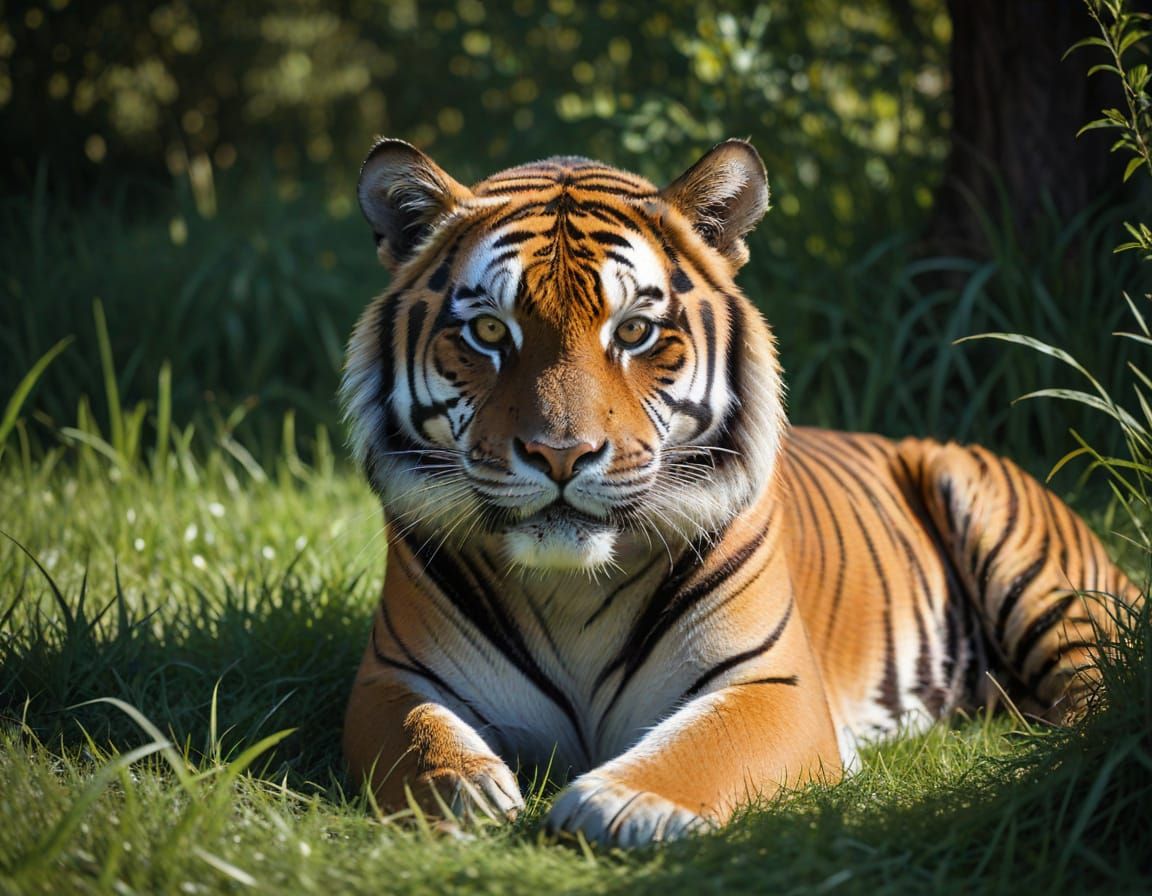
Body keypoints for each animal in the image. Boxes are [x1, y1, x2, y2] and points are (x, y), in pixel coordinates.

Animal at [340, 137, 1143, 847]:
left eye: (633, 331)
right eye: (486, 330)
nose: (560, 455)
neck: (573, 589)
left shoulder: (771, 682)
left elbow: (701, 748)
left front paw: (620, 805)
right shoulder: (394, 675)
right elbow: (419, 739)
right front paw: (465, 795)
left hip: (1029, 563)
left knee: (1101, 682)